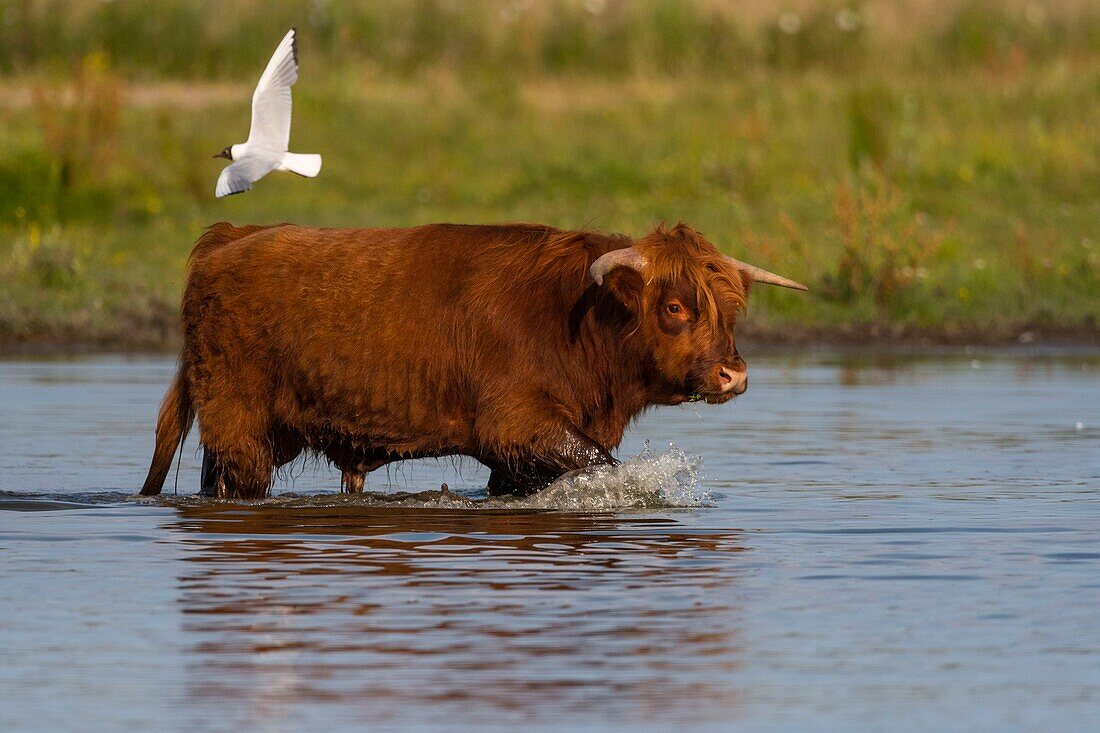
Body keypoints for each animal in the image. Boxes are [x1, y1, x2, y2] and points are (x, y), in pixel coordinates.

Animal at [139, 222, 809, 497]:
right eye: (673, 307)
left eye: (731, 309)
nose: (733, 373)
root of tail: (231, 236)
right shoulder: (517, 423)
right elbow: (604, 466)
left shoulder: (521, 449)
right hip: (239, 421)